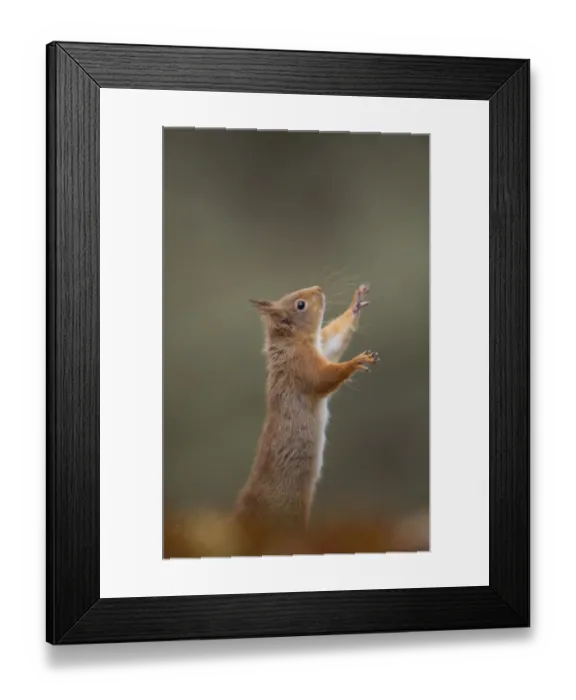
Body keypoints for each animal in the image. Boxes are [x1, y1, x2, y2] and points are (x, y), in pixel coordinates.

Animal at [232, 283, 378, 537]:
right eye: (300, 305)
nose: (318, 288)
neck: (291, 342)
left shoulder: (322, 347)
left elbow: (335, 339)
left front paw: (356, 303)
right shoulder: (301, 367)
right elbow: (324, 378)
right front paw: (355, 362)